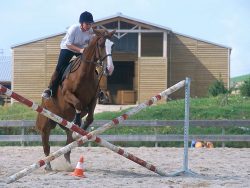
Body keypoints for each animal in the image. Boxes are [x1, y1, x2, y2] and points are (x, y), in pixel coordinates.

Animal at [35, 29, 115, 170]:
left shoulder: (93, 99)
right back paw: (48, 165)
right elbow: (78, 104)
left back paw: (68, 163)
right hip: (45, 123)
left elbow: (90, 117)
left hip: (63, 122)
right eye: (101, 44)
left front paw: (80, 131)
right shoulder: (68, 95)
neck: (85, 74)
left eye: (112, 45)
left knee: (68, 142)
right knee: (46, 145)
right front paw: (78, 128)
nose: (109, 69)